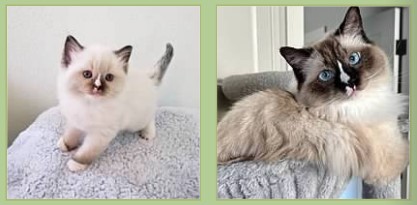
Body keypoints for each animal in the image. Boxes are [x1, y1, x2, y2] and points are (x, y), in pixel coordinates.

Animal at [56, 35, 172, 171]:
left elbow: (87, 151)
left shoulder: (100, 134)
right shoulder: (75, 121)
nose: (98, 87)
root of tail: (148, 77)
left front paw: (76, 163)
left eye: (109, 77)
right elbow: (71, 134)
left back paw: (148, 134)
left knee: (150, 118)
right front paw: (65, 144)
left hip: (136, 121)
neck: (88, 103)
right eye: (87, 74)